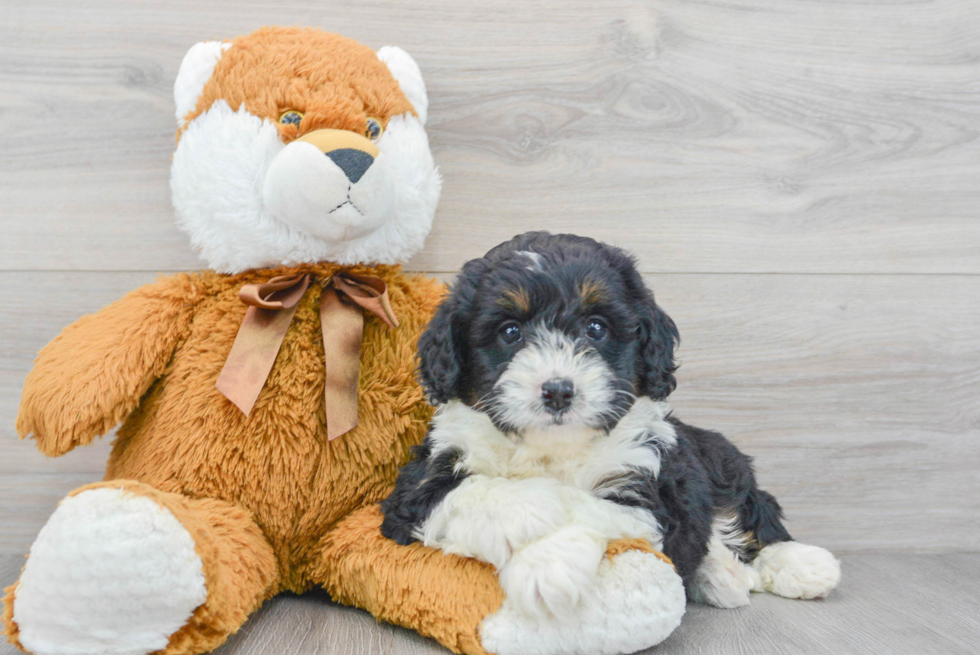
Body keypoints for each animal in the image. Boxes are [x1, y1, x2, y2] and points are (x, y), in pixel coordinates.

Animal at [378, 233, 840, 616]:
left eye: (596, 328)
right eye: (510, 332)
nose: (558, 390)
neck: (552, 448)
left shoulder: (651, 493)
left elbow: (592, 506)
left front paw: (548, 566)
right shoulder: (412, 492)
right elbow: (463, 490)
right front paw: (532, 508)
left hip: (721, 460)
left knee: (753, 516)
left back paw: (804, 566)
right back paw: (721, 576)